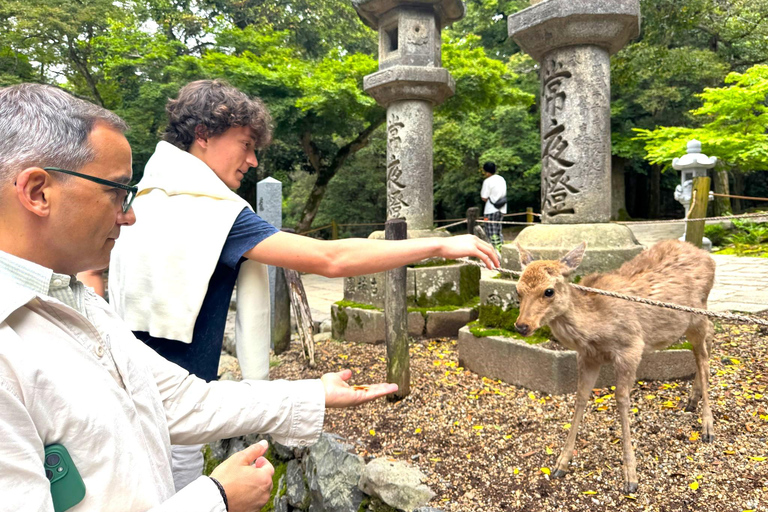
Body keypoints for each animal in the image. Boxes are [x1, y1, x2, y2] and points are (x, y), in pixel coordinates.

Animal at [514, 239, 716, 494]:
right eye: (517, 290)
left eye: (548, 291)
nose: (522, 326)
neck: (595, 328)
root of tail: (709, 258)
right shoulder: (588, 356)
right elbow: (581, 397)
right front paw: (561, 463)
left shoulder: (631, 347)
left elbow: (622, 400)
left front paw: (631, 477)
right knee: (707, 342)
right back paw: (692, 400)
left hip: (697, 314)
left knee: (704, 352)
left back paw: (708, 427)